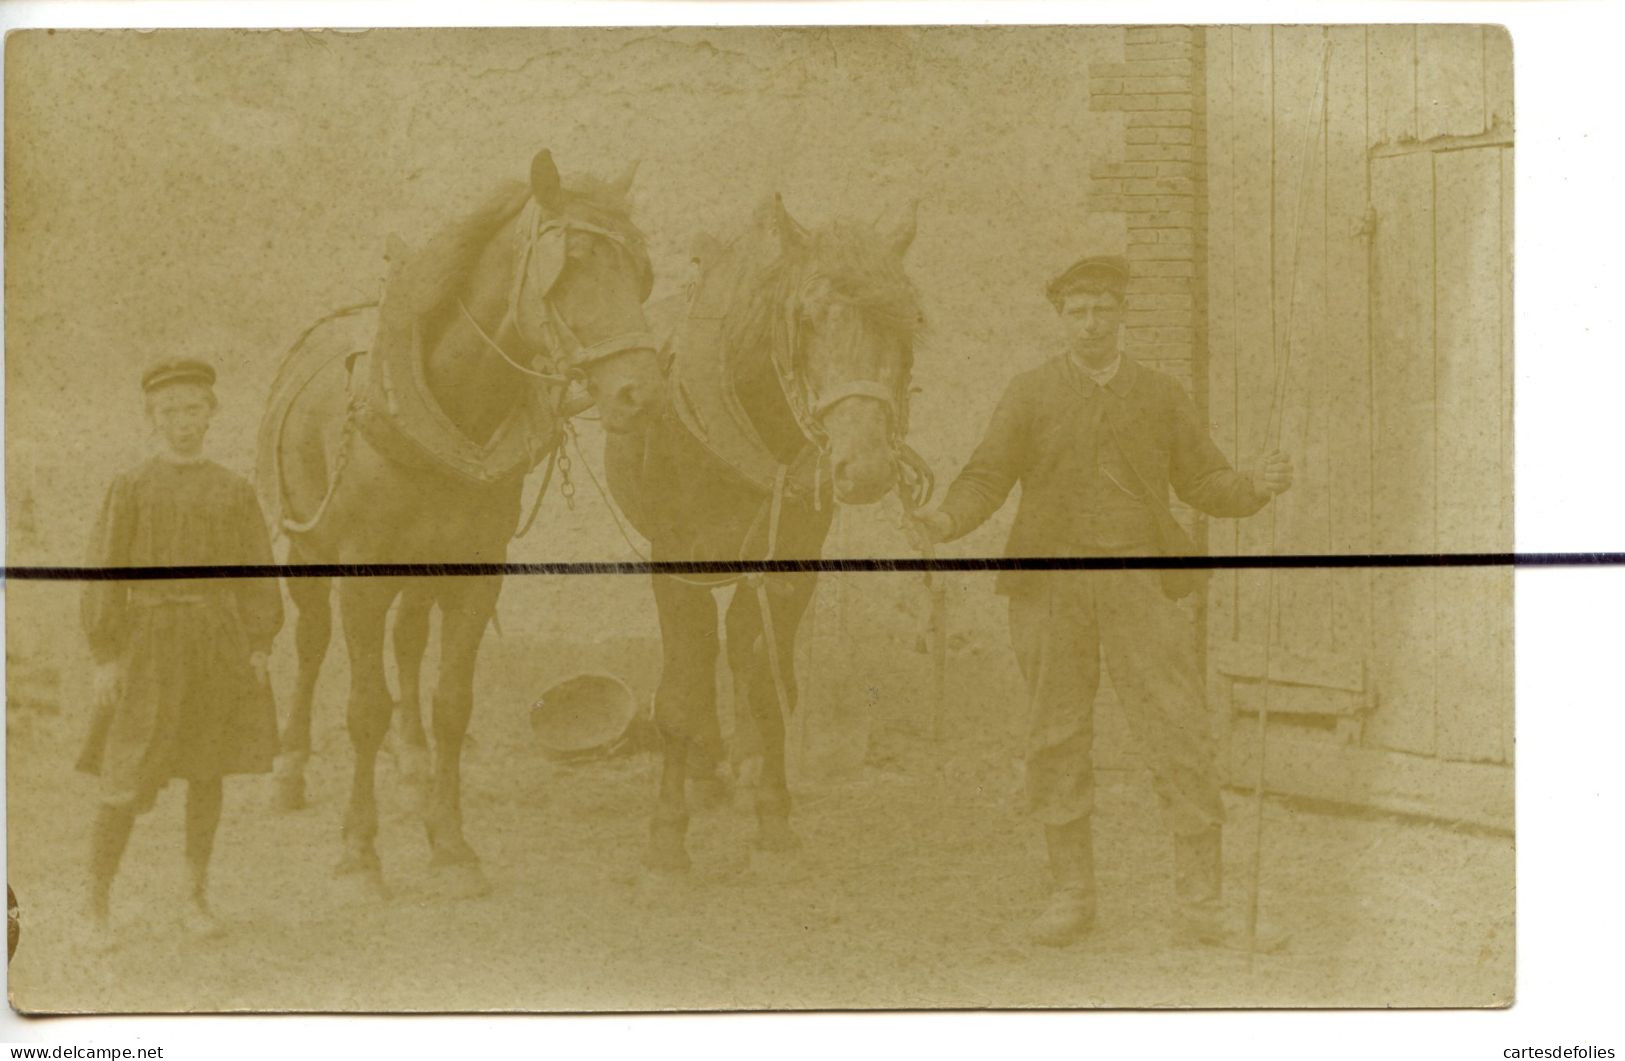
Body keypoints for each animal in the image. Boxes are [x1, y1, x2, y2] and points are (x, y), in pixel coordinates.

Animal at [256, 148, 663, 896]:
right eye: (575, 262)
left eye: (642, 274)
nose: (640, 394)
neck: (449, 402)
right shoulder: (360, 575)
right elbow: (363, 708)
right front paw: (360, 852)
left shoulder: (475, 573)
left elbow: (451, 702)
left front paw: (449, 842)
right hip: (308, 549)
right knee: (311, 642)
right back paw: (290, 768)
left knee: (410, 643)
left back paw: (414, 765)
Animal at [604, 192, 929, 870]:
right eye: (807, 317)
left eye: (909, 321)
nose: (864, 466)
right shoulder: (678, 560)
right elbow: (680, 690)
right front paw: (668, 832)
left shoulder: (791, 564)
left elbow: (767, 682)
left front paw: (773, 813)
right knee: (701, 661)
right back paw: (705, 767)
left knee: (740, 651)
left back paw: (740, 760)